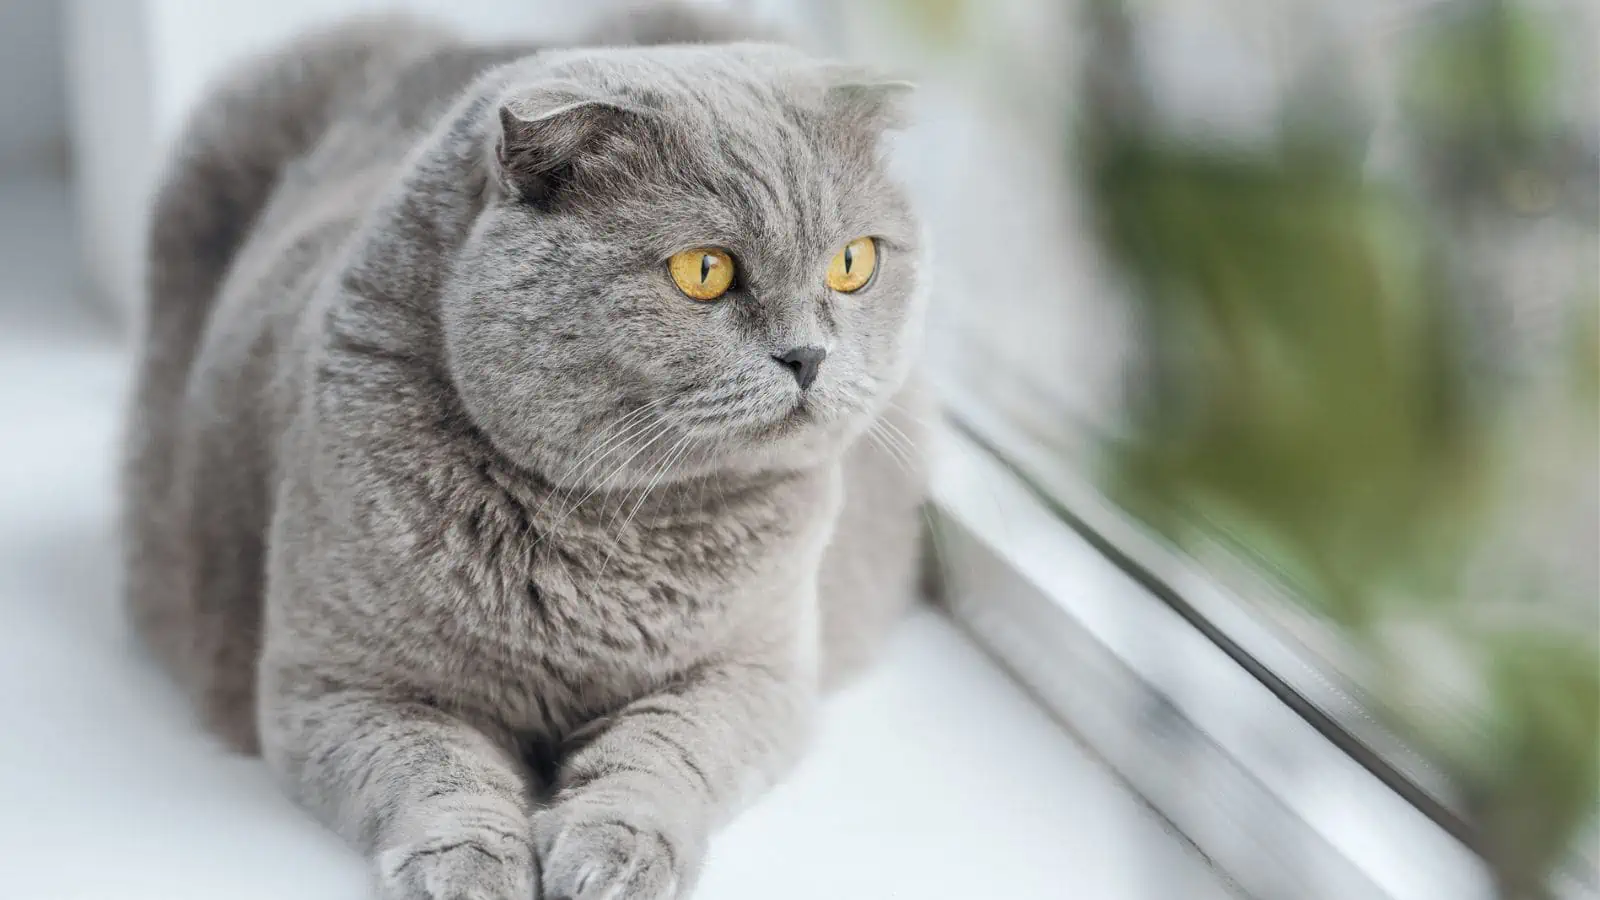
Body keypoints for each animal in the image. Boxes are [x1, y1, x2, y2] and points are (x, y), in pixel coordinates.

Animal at [124, 7, 934, 896]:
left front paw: (612, 856)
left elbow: (663, 753)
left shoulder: (757, 670)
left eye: (853, 262)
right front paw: (472, 868)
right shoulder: (336, 685)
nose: (808, 356)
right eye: (704, 271)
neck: (615, 535)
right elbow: (433, 769)